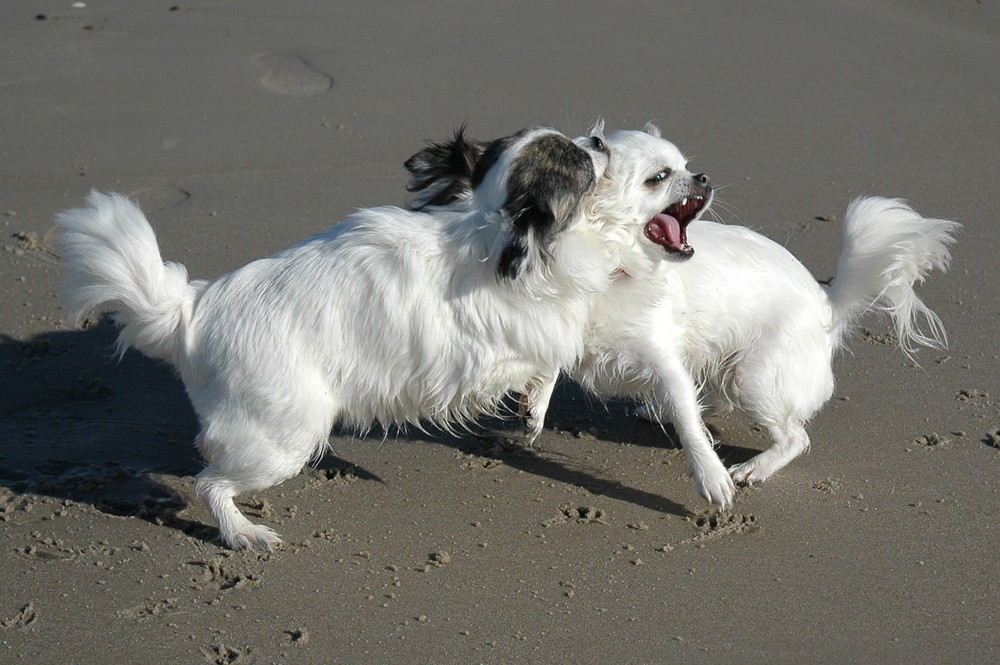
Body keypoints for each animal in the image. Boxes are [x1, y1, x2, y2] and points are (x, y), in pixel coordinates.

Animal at [60, 126, 616, 548]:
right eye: (580, 164)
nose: (598, 139)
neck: (490, 232)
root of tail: (193, 310)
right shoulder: (491, 358)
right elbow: (549, 366)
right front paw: (532, 415)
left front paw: (530, 414)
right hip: (287, 438)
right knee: (210, 484)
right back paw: (243, 533)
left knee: (209, 448)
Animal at [406, 122, 960, 508]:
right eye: (659, 178)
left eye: (685, 167)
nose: (704, 176)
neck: (612, 264)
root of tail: (828, 304)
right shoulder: (560, 327)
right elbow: (548, 370)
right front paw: (533, 412)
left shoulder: (665, 358)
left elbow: (692, 431)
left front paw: (710, 477)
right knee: (711, 401)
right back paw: (661, 409)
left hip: (752, 376)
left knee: (792, 435)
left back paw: (752, 467)